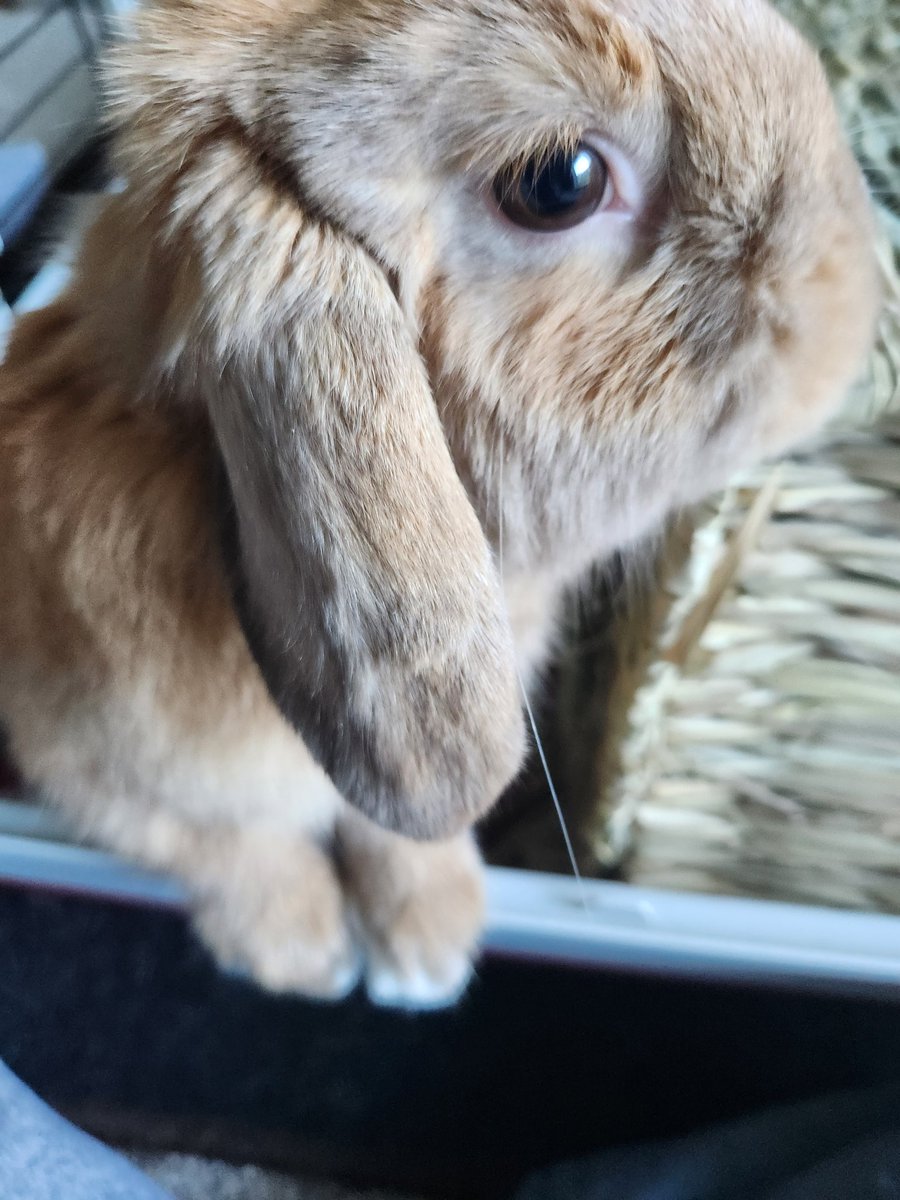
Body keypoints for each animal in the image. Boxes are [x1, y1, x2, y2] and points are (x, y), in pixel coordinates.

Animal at [0, 0, 879, 1007]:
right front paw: (303, 954)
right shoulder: (97, 776)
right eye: (559, 183)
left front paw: (429, 943)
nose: (852, 286)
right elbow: (224, 847)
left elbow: (391, 834)